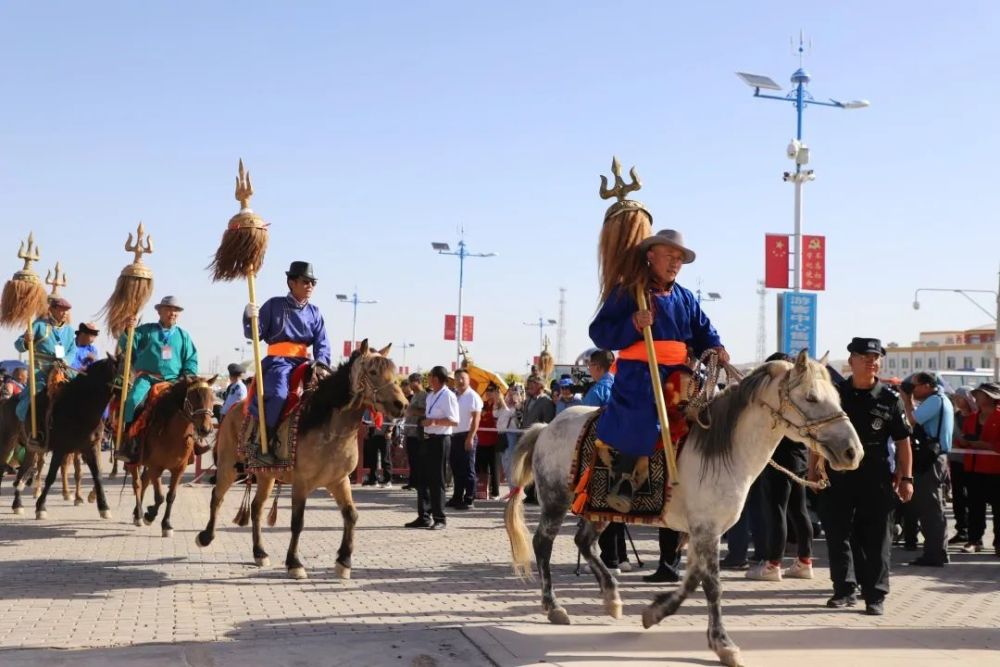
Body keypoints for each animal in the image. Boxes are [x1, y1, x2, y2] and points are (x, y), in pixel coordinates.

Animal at [130, 376, 216, 536]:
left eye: (212, 398)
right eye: (193, 398)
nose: (206, 429)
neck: (172, 436)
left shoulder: (178, 469)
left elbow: (170, 496)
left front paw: (166, 524)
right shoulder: (156, 468)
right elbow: (159, 497)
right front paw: (150, 516)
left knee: (144, 481)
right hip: (134, 462)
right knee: (137, 484)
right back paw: (138, 515)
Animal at [195, 342, 406, 580]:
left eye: (394, 372)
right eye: (373, 372)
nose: (401, 404)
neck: (328, 426)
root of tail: (233, 408)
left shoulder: (339, 480)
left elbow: (351, 515)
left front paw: (344, 561)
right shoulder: (301, 483)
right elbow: (297, 522)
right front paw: (294, 563)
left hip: (266, 475)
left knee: (257, 507)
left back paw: (259, 552)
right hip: (228, 465)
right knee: (217, 497)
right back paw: (206, 537)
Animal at [504, 352, 864, 667]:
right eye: (812, 398)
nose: (852, 452)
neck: (725, 451)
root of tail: (547, 426)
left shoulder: (703, 531)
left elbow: (693, 579)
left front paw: (654, 613)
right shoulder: (706, 529)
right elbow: (712, 585)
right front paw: (723, 645)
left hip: (598, 507)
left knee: (584, 542)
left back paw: (612, 598)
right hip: (556, 500)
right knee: (543, 544)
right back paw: (554, 607)